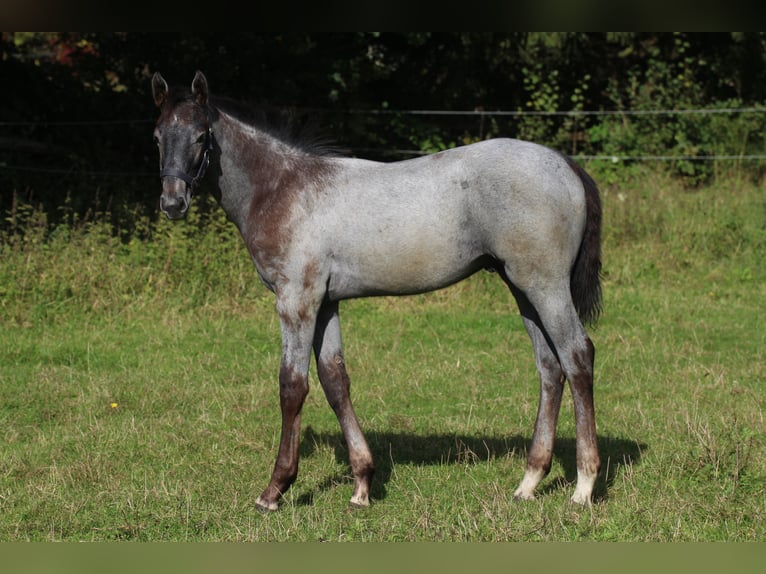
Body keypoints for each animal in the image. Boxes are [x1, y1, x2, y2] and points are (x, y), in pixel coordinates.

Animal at [152, 71, 608, 512]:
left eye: (201, 135)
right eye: (157, 136)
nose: (172, 203)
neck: (282, 188)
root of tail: (566, 165)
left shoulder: (296, 300)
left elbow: (292, 386)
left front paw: (275, 490)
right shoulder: (326, 303)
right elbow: (335, 381)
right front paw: (362, 485)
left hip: (546, 286)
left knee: (577, 356)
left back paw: (584, 486)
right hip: (522, 289)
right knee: (550, 367)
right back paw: (529, 482)